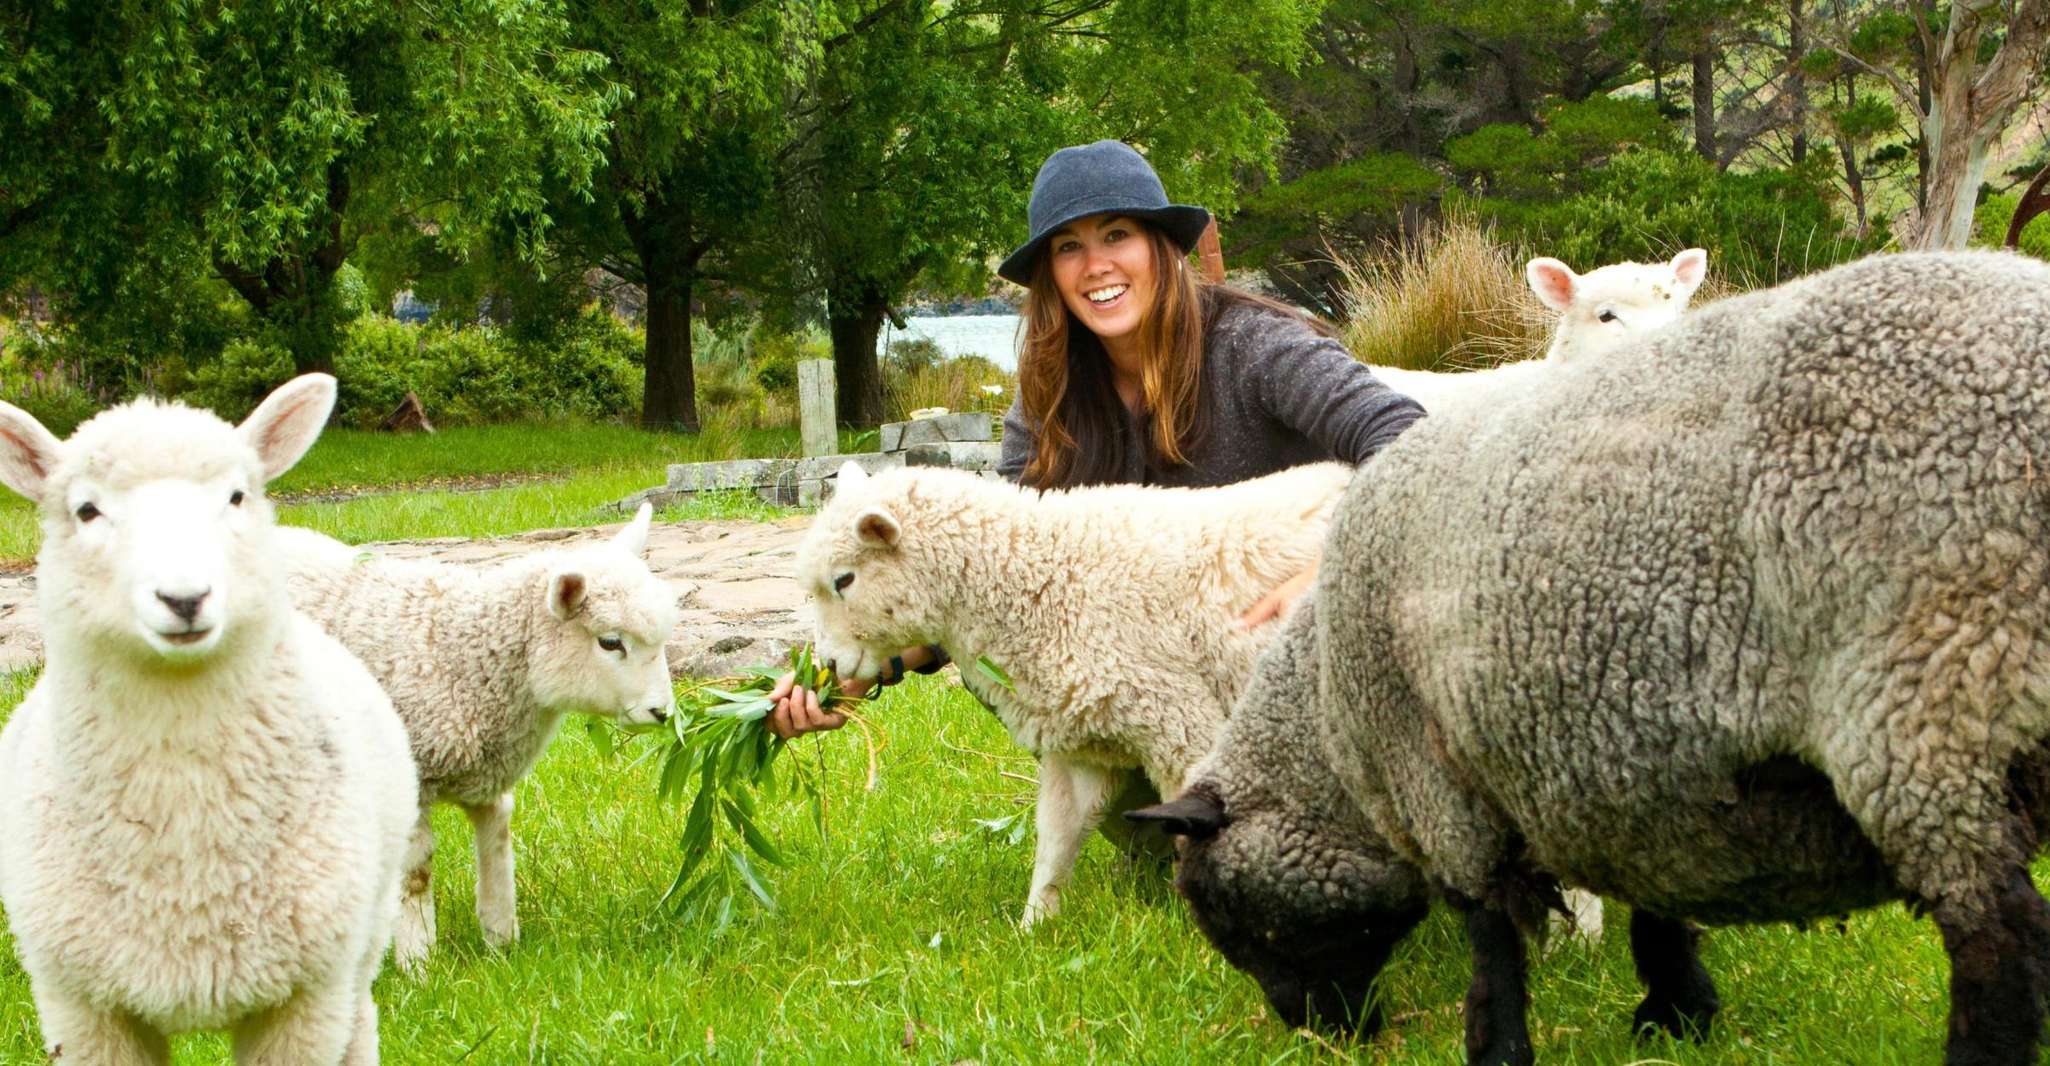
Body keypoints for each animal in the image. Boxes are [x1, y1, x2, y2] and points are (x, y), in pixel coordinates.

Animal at [276, 504, 680, 971]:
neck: (465, 654)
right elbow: (417, 873)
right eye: (611, 642)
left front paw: (501, 943)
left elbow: (498, 849)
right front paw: (418, 963)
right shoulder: (414, 775)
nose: (662, 713)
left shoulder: (489, 778)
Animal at [791, 459, 1353, 922]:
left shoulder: (1179, 720)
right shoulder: (1083, 743)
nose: (830, 666)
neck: (1042, 576)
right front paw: (1035, 925)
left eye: (844, 580)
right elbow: (1057, 837)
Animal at [1139, 252, 2050, 1066]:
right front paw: (1677, 1014)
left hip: (1933, 689)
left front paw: (1499, 1047)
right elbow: (1659, 907)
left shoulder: (1441, 786)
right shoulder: (1633, 771)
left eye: (1227, 918)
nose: (1317, 1034)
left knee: (1996, 937)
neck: (1329, 714)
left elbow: (1490, 946)